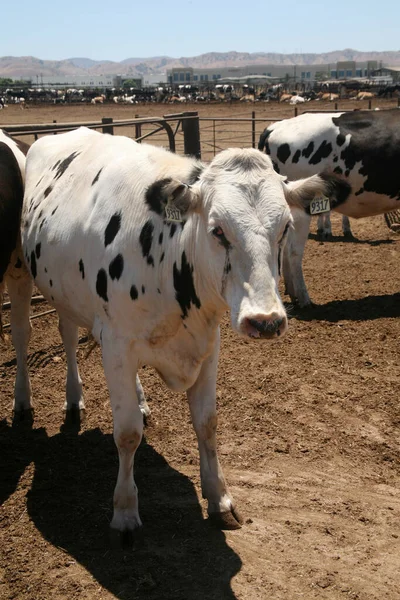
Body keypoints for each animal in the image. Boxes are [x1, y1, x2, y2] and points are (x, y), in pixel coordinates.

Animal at [20, 127, 348, 540]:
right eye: (218, 230)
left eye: (286, 227)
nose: (265, 320)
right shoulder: (117, 343)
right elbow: (126, 432)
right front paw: (124, 512)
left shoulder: (208, 342)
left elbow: (207, 422)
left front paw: (220, 498)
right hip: (55, 295)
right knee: (63, 336)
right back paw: (71, 399)